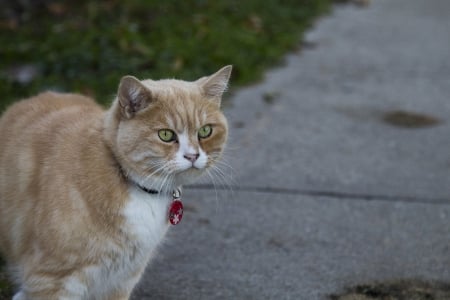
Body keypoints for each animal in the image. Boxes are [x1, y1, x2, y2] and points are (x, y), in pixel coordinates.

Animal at [0, 64, 232, 298]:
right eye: (166, 135)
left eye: (205, 130)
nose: (193, 156)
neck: (131, 183)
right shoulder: (51, 280)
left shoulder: (123, 278)